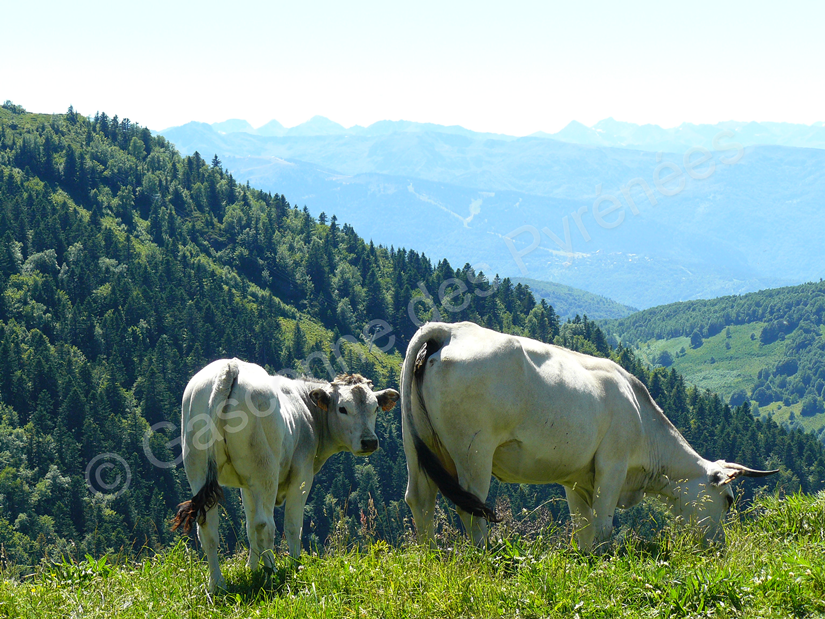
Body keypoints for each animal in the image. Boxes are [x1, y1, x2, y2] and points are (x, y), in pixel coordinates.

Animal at [172, 358, 398, 592]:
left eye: (374, 408)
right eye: (343, 408)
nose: (369, 441)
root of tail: (229, 367)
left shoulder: (246, 485)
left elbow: (249, 528)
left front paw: (251, 569)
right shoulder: (302, 475)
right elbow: (292, 525)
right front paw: (295, 565)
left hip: (198, 469)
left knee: (209, 527)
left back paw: (217, 584)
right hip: (264, 471)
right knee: (265, 525)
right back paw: (271, 572)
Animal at [402, 322, 776, 548]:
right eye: (728, 500)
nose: (720, 547)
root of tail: (451, 330)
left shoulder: (576, 479)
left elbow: (582, 530)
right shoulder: (612, 466)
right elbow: (603, 525)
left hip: (417, 447)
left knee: (420, 499)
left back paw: (429, 557)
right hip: (474, 451)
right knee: (471, 507)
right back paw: (485, 557)